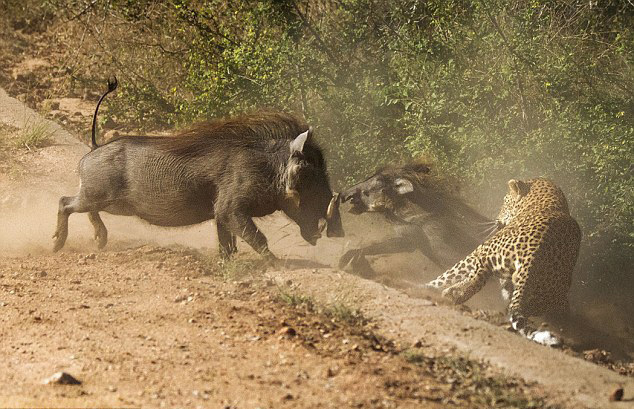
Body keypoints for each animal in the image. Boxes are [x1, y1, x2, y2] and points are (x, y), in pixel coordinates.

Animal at [424, 177, 576, 346]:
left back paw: (441, 292)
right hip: (546, 297)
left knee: (473, 280)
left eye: (505, 201)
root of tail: (534, 256)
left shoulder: (479, 252)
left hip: (485, 253)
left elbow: (451, 275)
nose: (497, 220)